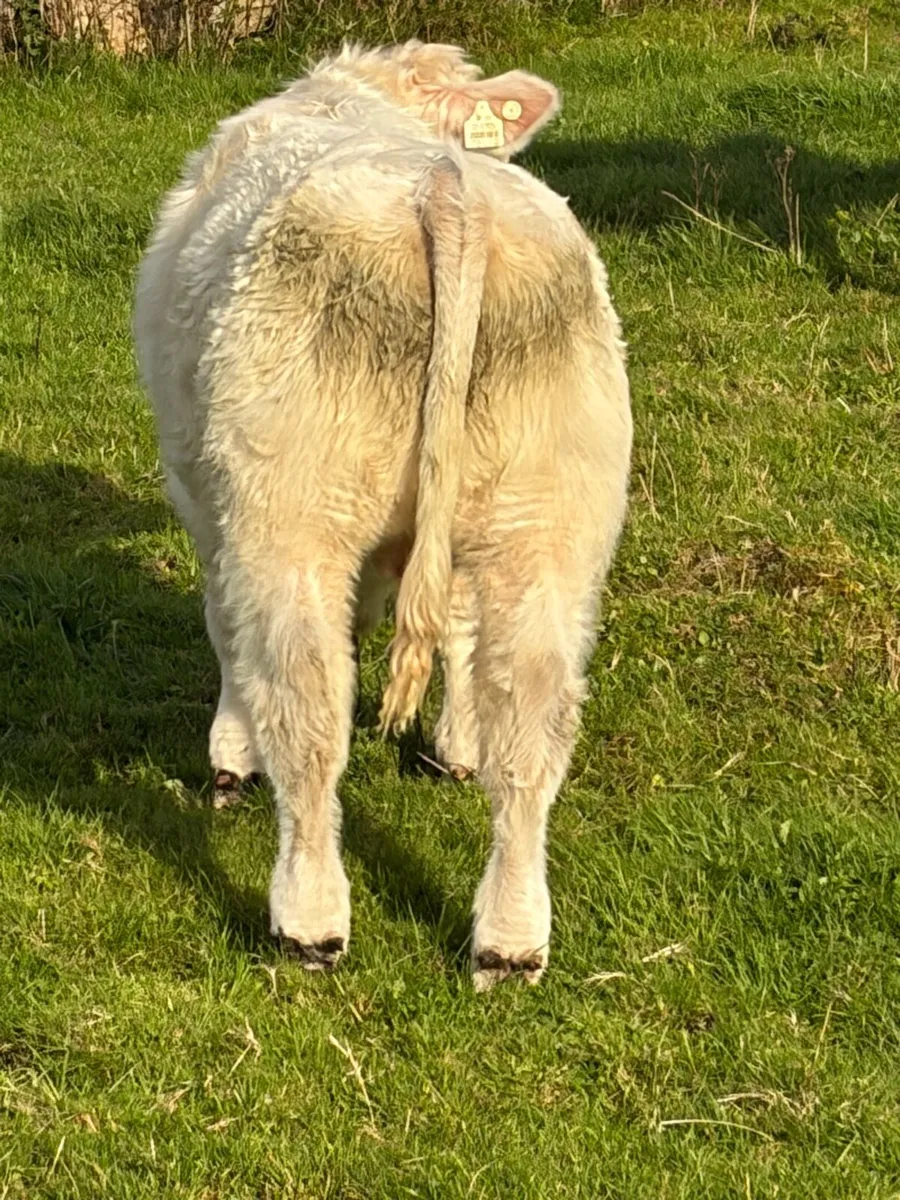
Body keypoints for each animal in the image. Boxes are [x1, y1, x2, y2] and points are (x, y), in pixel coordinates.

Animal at [133, 42, 632, 991]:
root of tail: (446, 189)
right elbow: (463, 631)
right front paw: (454, 749)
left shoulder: (205, 497)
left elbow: (225, 632)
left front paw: (229, 756)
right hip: (545, 528)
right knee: (532, 724)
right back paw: (511, 940)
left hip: (288, 522)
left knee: (309, 711)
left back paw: (308, 922)